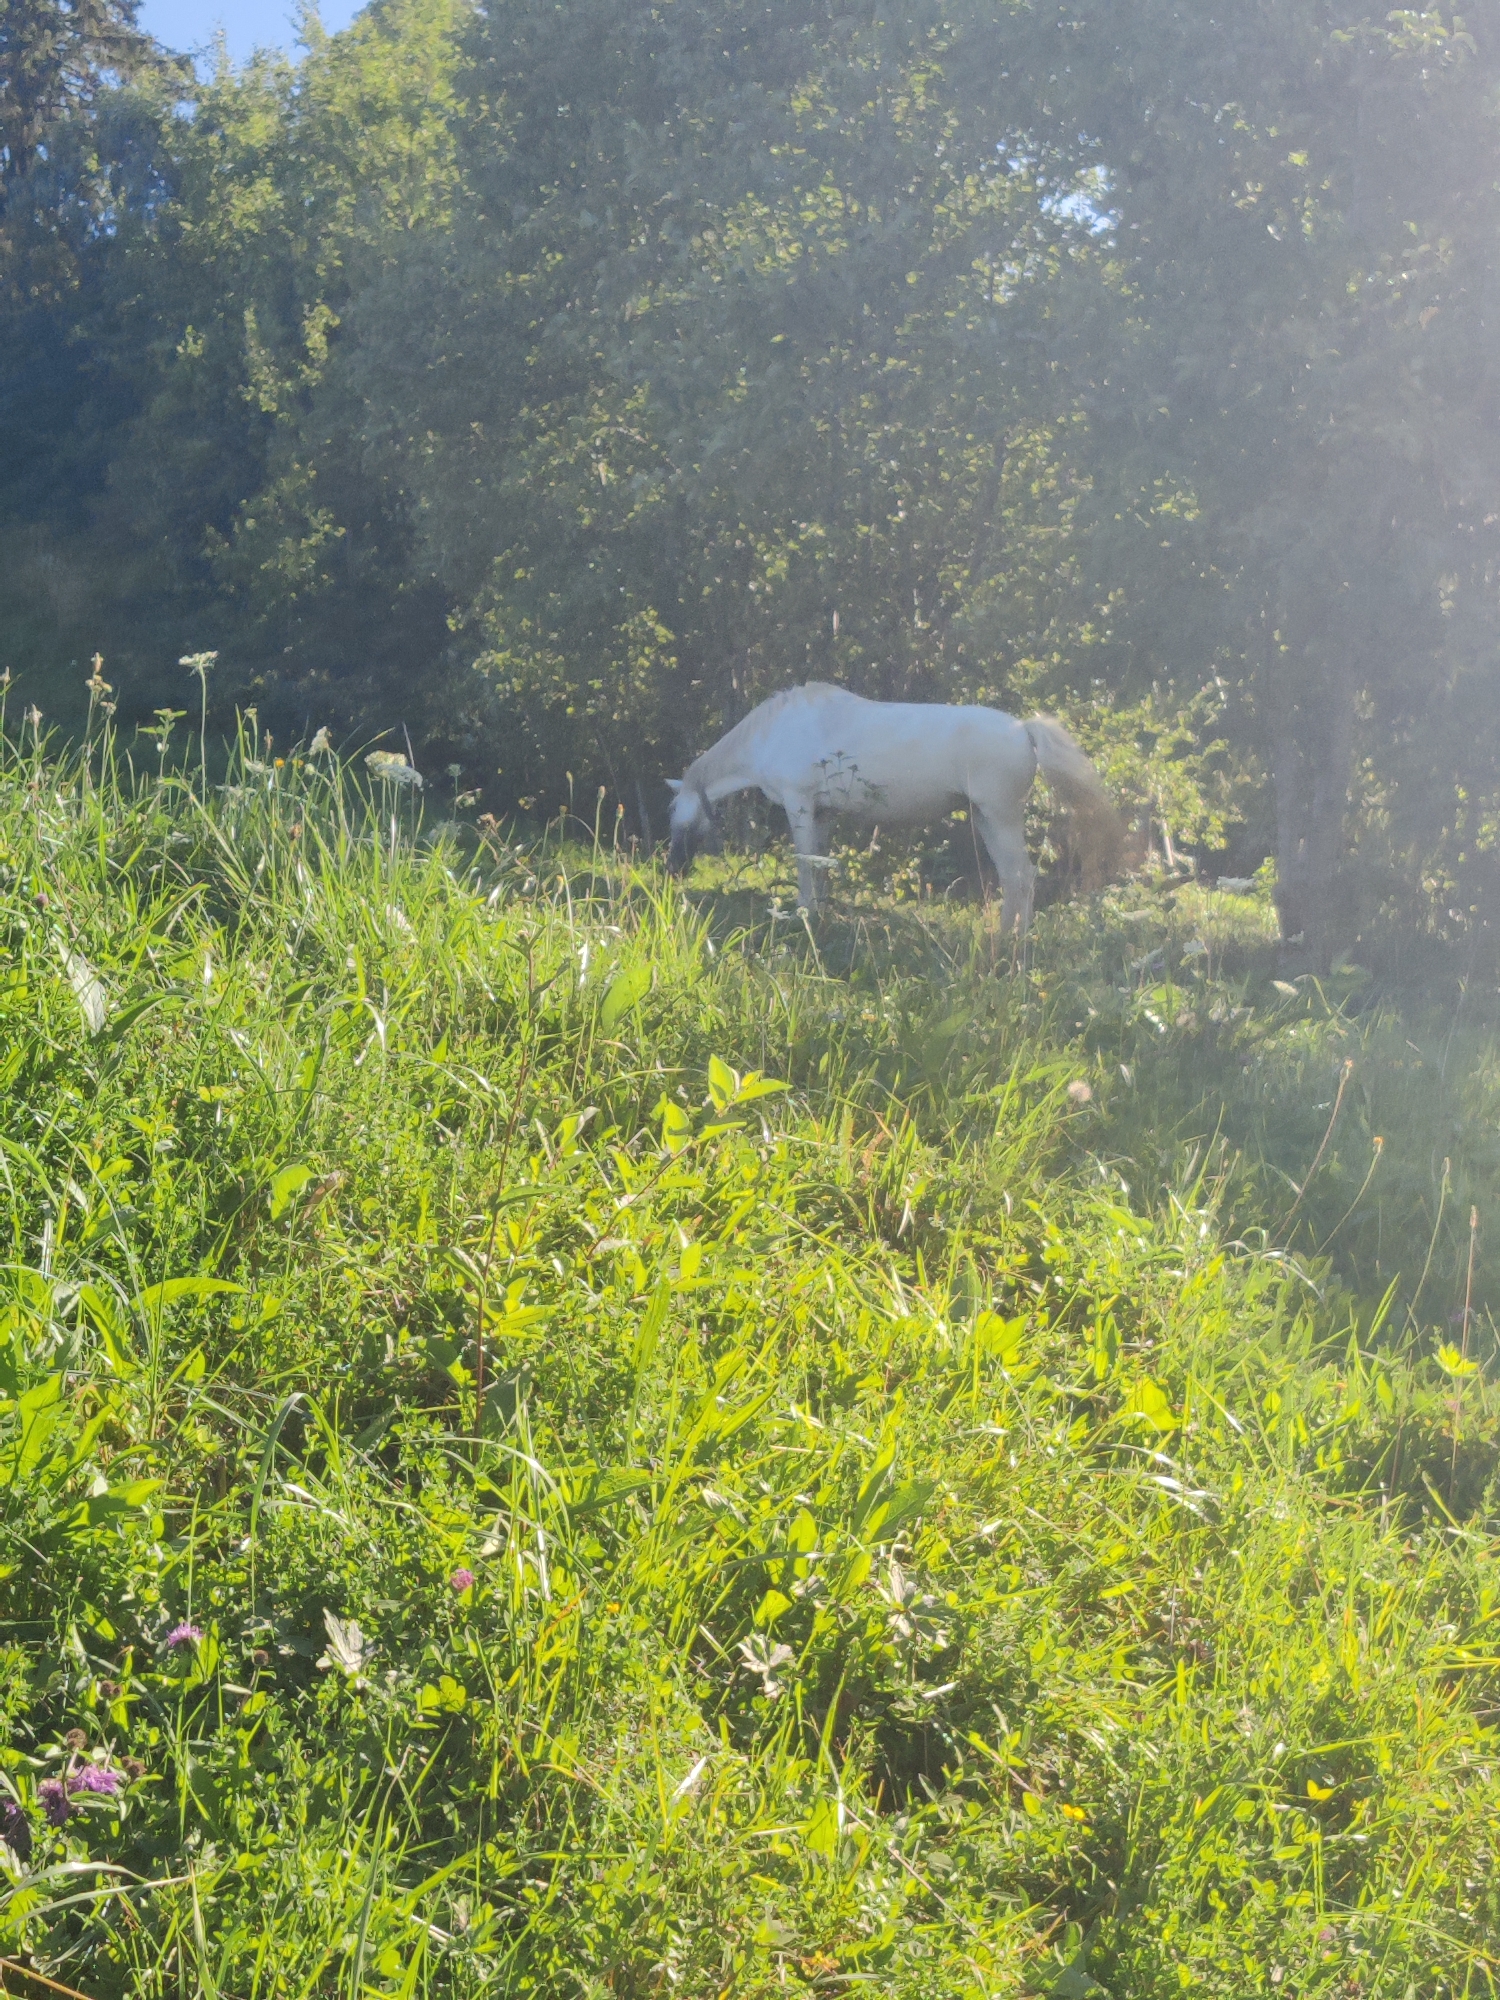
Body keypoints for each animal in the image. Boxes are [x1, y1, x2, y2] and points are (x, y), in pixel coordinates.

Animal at [666, 683, 1123, 932]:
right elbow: (820, 862)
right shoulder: (822, 813)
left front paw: (803, 912)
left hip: (1001, 817)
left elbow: (804, 863)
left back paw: (1014, 943)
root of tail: (1023, 728)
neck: (773, 732)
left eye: (673, 813)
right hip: (987, 819)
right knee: (1014, 879)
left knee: (1022, 878)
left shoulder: (799, 805)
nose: (672, 869)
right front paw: (820, 910)